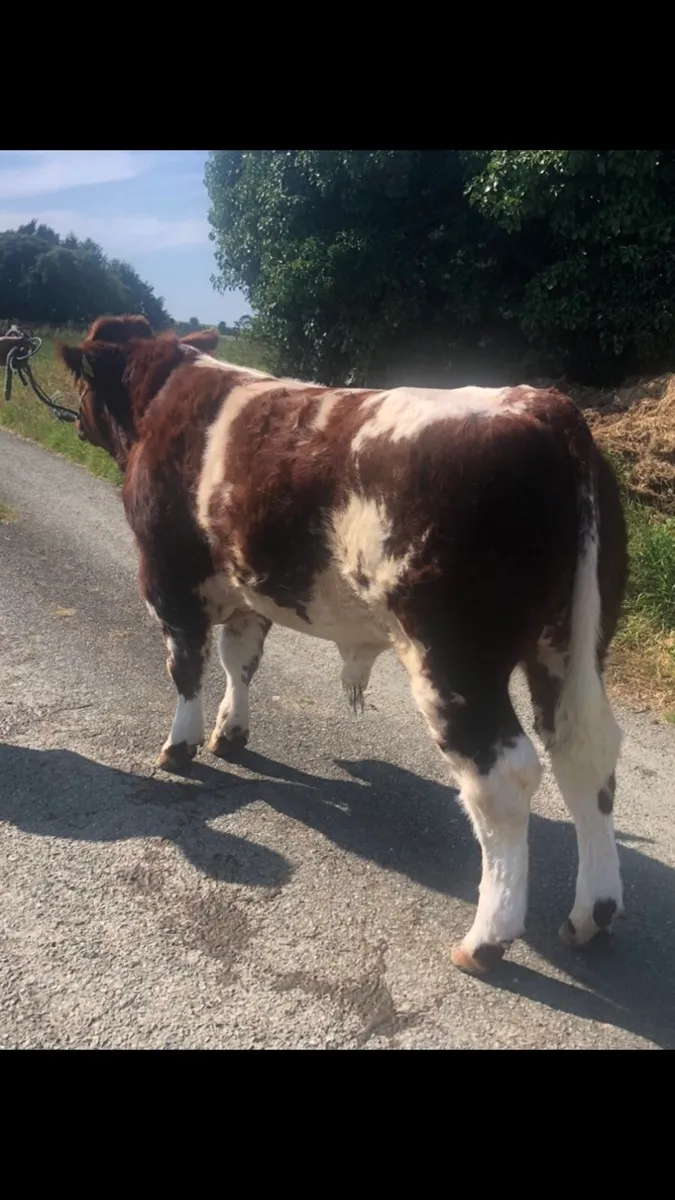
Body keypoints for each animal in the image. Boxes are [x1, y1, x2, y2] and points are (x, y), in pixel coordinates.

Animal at [58, 314, 628, 975]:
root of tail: (542, 406)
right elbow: (239, 661)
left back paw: (486, 939)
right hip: (571, 642)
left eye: (84, 386)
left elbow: (186, 666)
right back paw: (593, 914)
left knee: (505, 777)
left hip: (454, 655)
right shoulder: (249, 590)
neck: (164, 402)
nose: (74, 419)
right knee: (585, 753)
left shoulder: (166, 579)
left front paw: (180, 747)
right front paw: (231, 732)